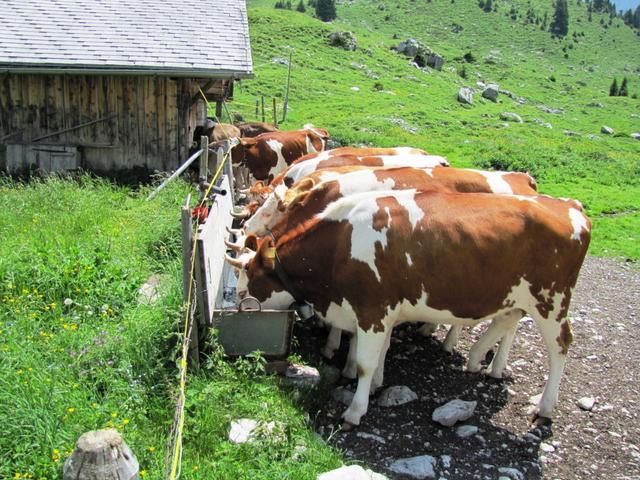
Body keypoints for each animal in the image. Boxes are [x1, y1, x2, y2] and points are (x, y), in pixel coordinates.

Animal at [228, 189, 592, 426]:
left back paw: (545, 406)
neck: (341, 245)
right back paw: (478, 359)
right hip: (516, 296)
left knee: (560, 346)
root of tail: (567, 205)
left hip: (551, 301)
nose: (238, 306)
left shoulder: (373, 310)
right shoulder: (383, 312)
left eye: (247, 281)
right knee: (507, 320)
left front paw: (356, 410)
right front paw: (377, 384)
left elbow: (364, 363)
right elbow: (381, 353)